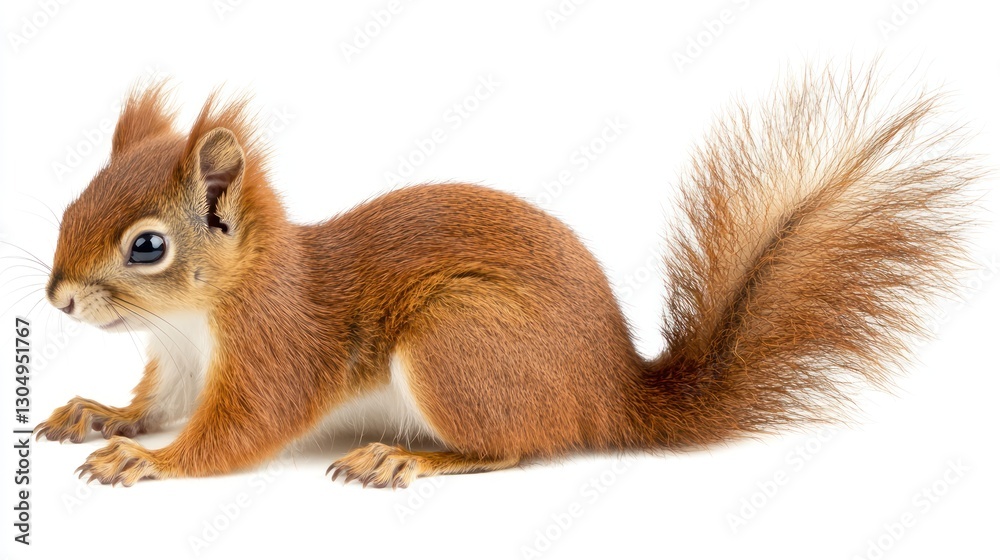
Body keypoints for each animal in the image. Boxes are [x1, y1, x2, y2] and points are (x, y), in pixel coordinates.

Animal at [34, 67, 979, 488]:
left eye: (147, 247)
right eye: (74, 199)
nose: (59, 298)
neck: (197, 318)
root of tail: (609, 392)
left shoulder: (275, 350)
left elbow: (236, 433)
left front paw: (145, 461)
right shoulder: (179, 363)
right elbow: (156, 403)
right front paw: (99, 415)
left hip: (457, 344)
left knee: (515, 446)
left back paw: (404, 456)